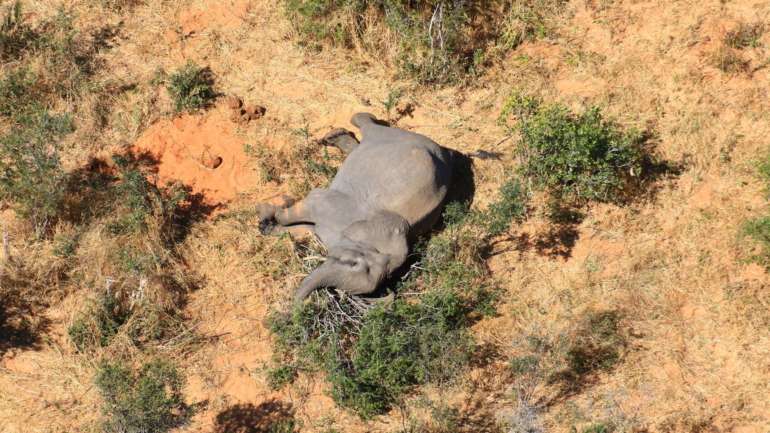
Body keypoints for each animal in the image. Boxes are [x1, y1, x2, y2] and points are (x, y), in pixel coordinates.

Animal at [258, 111, 450, 300]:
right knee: (368, 126)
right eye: (353, 263)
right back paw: (337, 134)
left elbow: (305, 228)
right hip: (394, 136)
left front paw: (266, 225)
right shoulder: (334, 205)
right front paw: (266, 215)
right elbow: (305, 206)